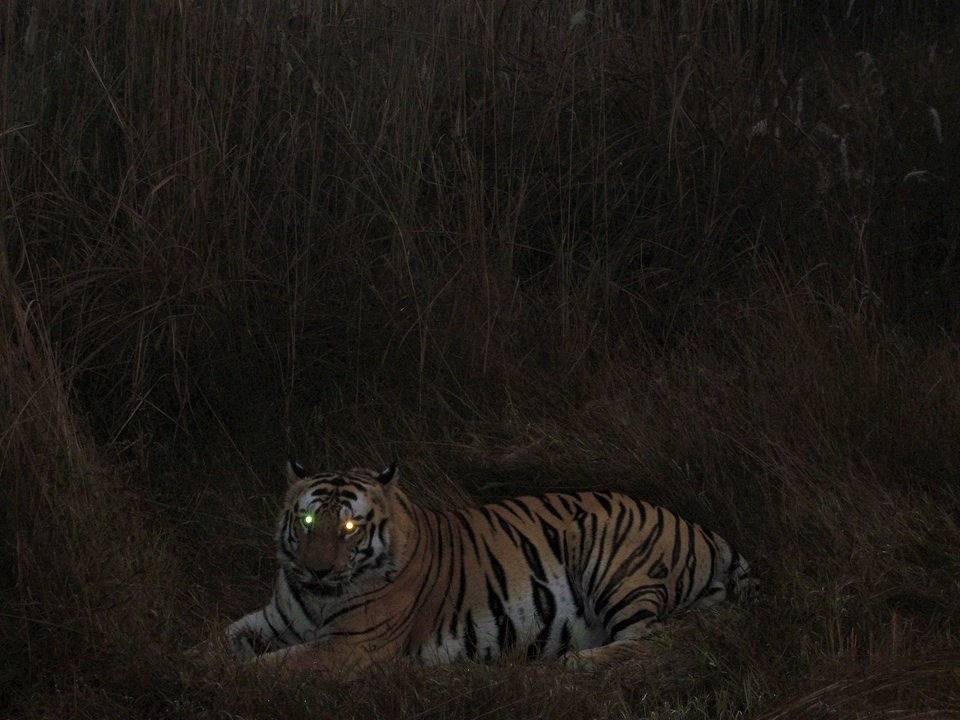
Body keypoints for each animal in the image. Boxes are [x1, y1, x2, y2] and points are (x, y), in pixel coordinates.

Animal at [202, 462, 752, 676]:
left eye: (352, 526)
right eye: (309, 520)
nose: (316, 570)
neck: (317, 596)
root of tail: (703, 529)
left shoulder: (351, 646)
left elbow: (275, 666)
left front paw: (234, 674)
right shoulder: (275, 618)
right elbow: (219, 636)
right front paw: (201, 659)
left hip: (613, 563)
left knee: (655, 642)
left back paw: (578, 662)